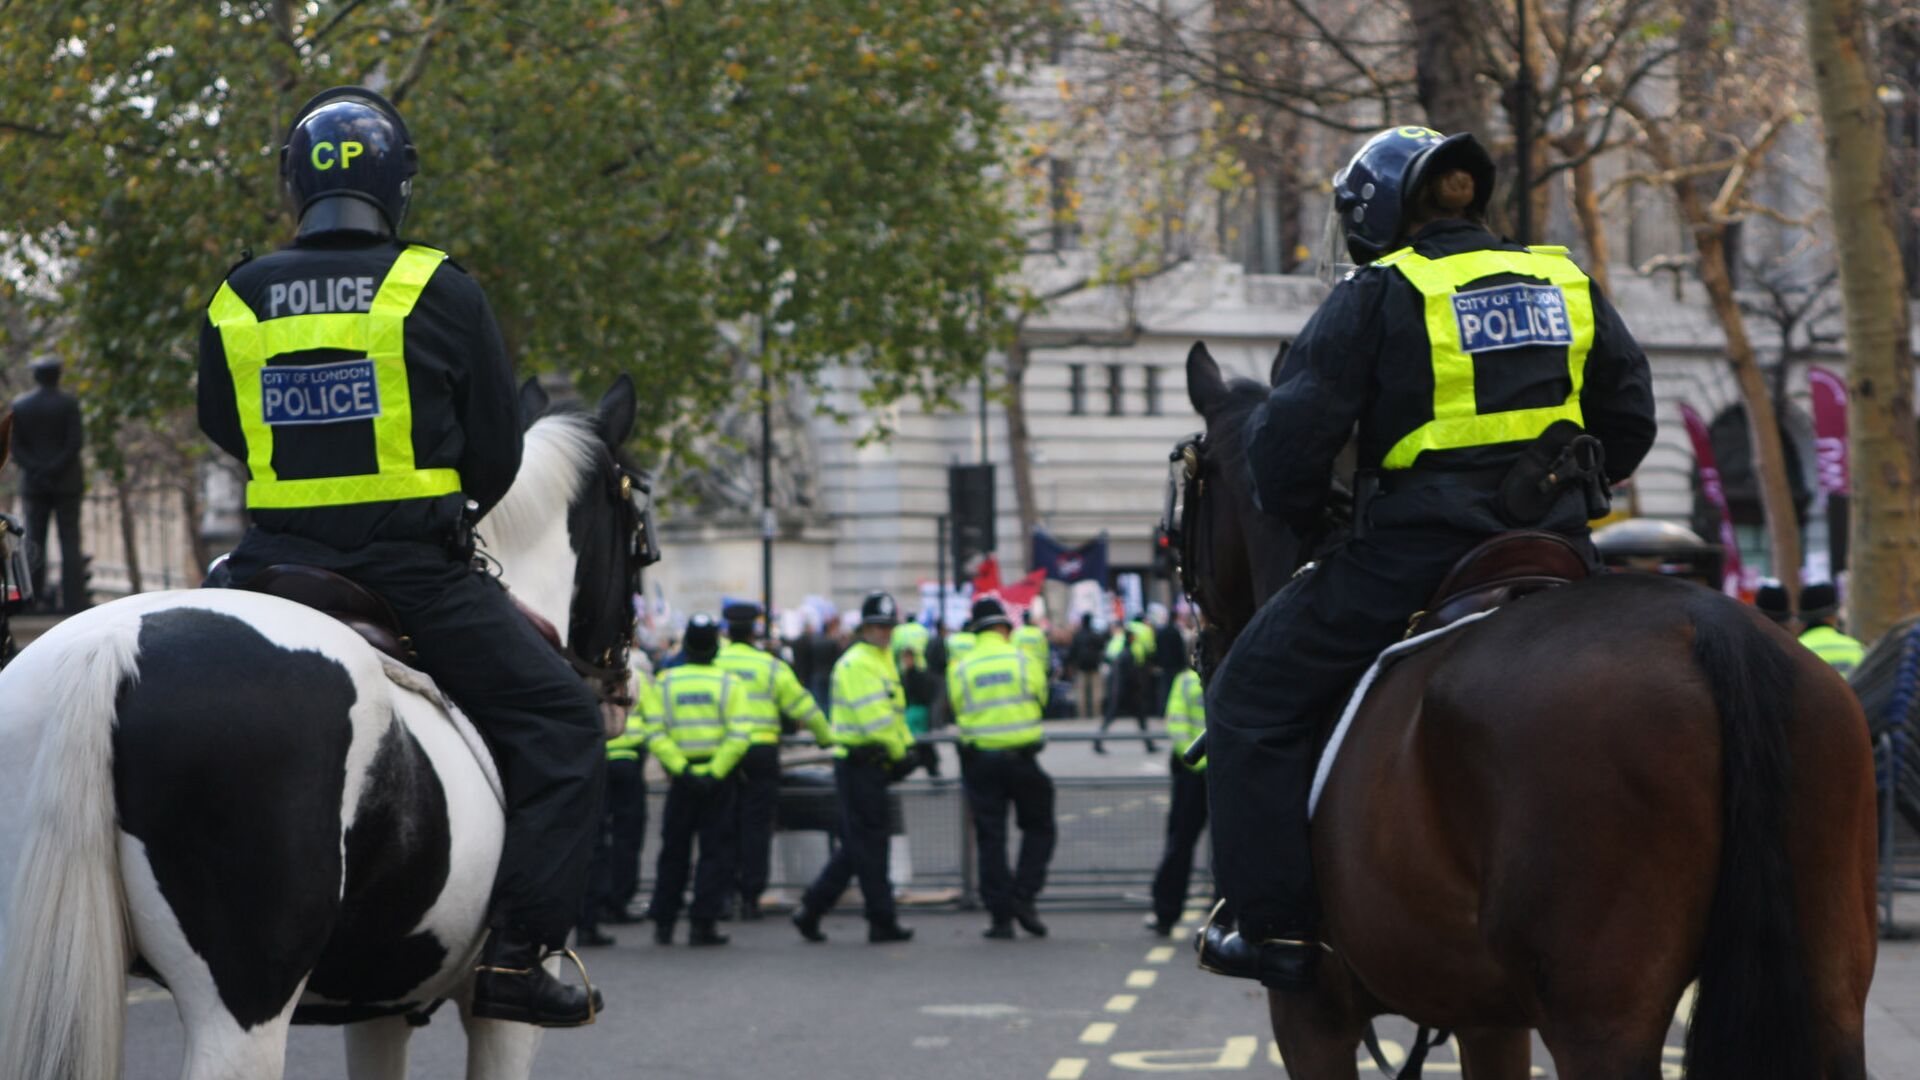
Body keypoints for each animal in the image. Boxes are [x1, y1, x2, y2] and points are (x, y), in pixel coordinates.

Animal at [0, 376, 645, 1076]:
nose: (623, 691)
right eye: (642, 531)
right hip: (245, 1002)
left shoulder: (379, 1001)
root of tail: (112, 646)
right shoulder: (498, 1017)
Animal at [1175, 345, 1881, 1076]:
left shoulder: (1312, 1015)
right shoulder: (1487, 1018)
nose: (1202, 647)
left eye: (1186, 479)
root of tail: (1713, 629)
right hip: (1830, 988)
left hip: (1599, 1015)